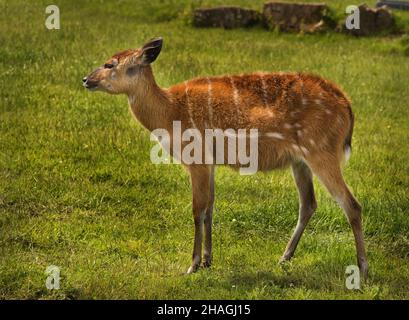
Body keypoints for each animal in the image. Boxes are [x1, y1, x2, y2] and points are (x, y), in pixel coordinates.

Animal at [82, 37, 366, 278]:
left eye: (110, 63)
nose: (85, 79)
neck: (168, 113)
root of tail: (347, 106)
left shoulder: (195, 156)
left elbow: (197, 208)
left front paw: (192, 265)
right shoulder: (210, 162)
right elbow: (210, 206)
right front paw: (208, 260)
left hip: (321, 150)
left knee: (351, 204)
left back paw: (362, 268)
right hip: (300, 161)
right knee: (309, 203)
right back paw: (284, 257)